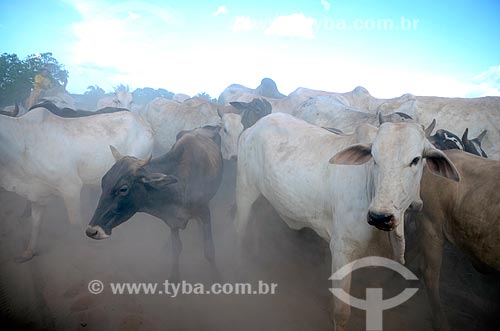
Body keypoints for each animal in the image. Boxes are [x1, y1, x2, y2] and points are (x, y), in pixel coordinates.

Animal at [0, 109, 152, 262]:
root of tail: (144, 122)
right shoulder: (37, 194)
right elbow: (35, 224)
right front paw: (28, 253)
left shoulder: (70, 188)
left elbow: (75, 224)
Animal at [236, 113, 458, 330]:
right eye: (374, 158)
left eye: (416, 160)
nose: (380, 217)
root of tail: (254, 126)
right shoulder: (342, 250)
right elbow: (341, 312)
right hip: (245, 193)